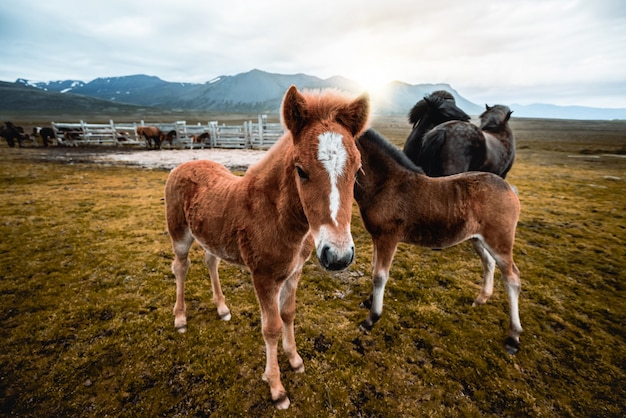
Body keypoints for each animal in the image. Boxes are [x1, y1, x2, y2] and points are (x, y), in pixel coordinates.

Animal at [163, 85, 368, 408]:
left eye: (358, 171)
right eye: (301, 171)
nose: (338, 256)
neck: (276, 216)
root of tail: (185, 164)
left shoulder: (293, 273)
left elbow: (289, 314)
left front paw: (295, 360)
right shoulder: (263, 277)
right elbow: (270, 328)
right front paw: (276, 388)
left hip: (210, 235)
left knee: (211, 261)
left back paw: (222, 308)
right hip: (180, 235)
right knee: (181, 268)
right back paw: (180, 318)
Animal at [352, 129, 520, 354]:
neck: (386, 185)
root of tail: (510, 188)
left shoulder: (388, 238)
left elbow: (379, 276)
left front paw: (370, 320)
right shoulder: (377, 237)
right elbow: (373, 269)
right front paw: (368, 302)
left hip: (499, 241)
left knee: (512, 279)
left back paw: (513, 337)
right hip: (477, 238)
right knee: (488, 263)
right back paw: (481, 299)